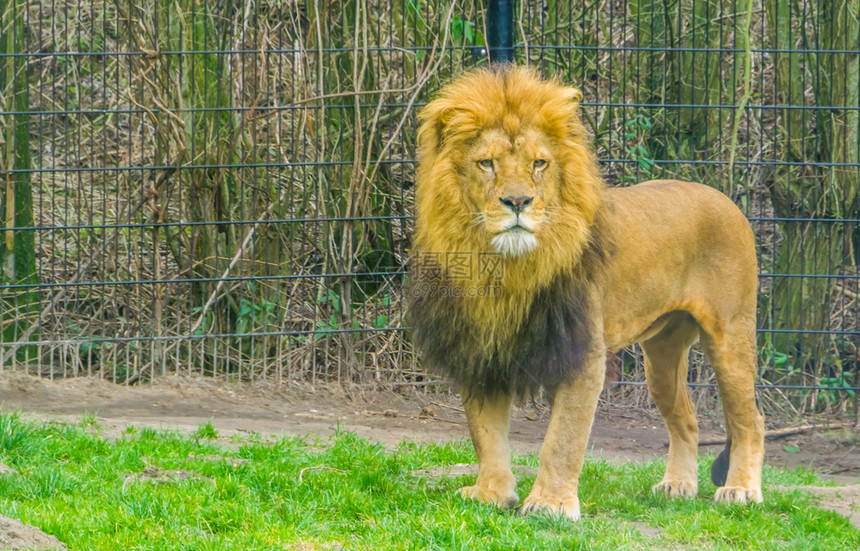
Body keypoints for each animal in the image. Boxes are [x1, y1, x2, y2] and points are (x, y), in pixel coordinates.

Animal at [410, 66, 764, 520]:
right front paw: (492, 492)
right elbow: (484, 431)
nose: (517, 201)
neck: (505, 268)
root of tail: (724, 198)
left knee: (749, 420)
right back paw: (677, 485)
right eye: (486, 163)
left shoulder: (583, 351)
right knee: (687, 419)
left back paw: (741, 490)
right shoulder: (481, 348)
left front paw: (550, 504)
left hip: (731, 335)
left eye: (539, 163)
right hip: (663, 351)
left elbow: (563, 438)